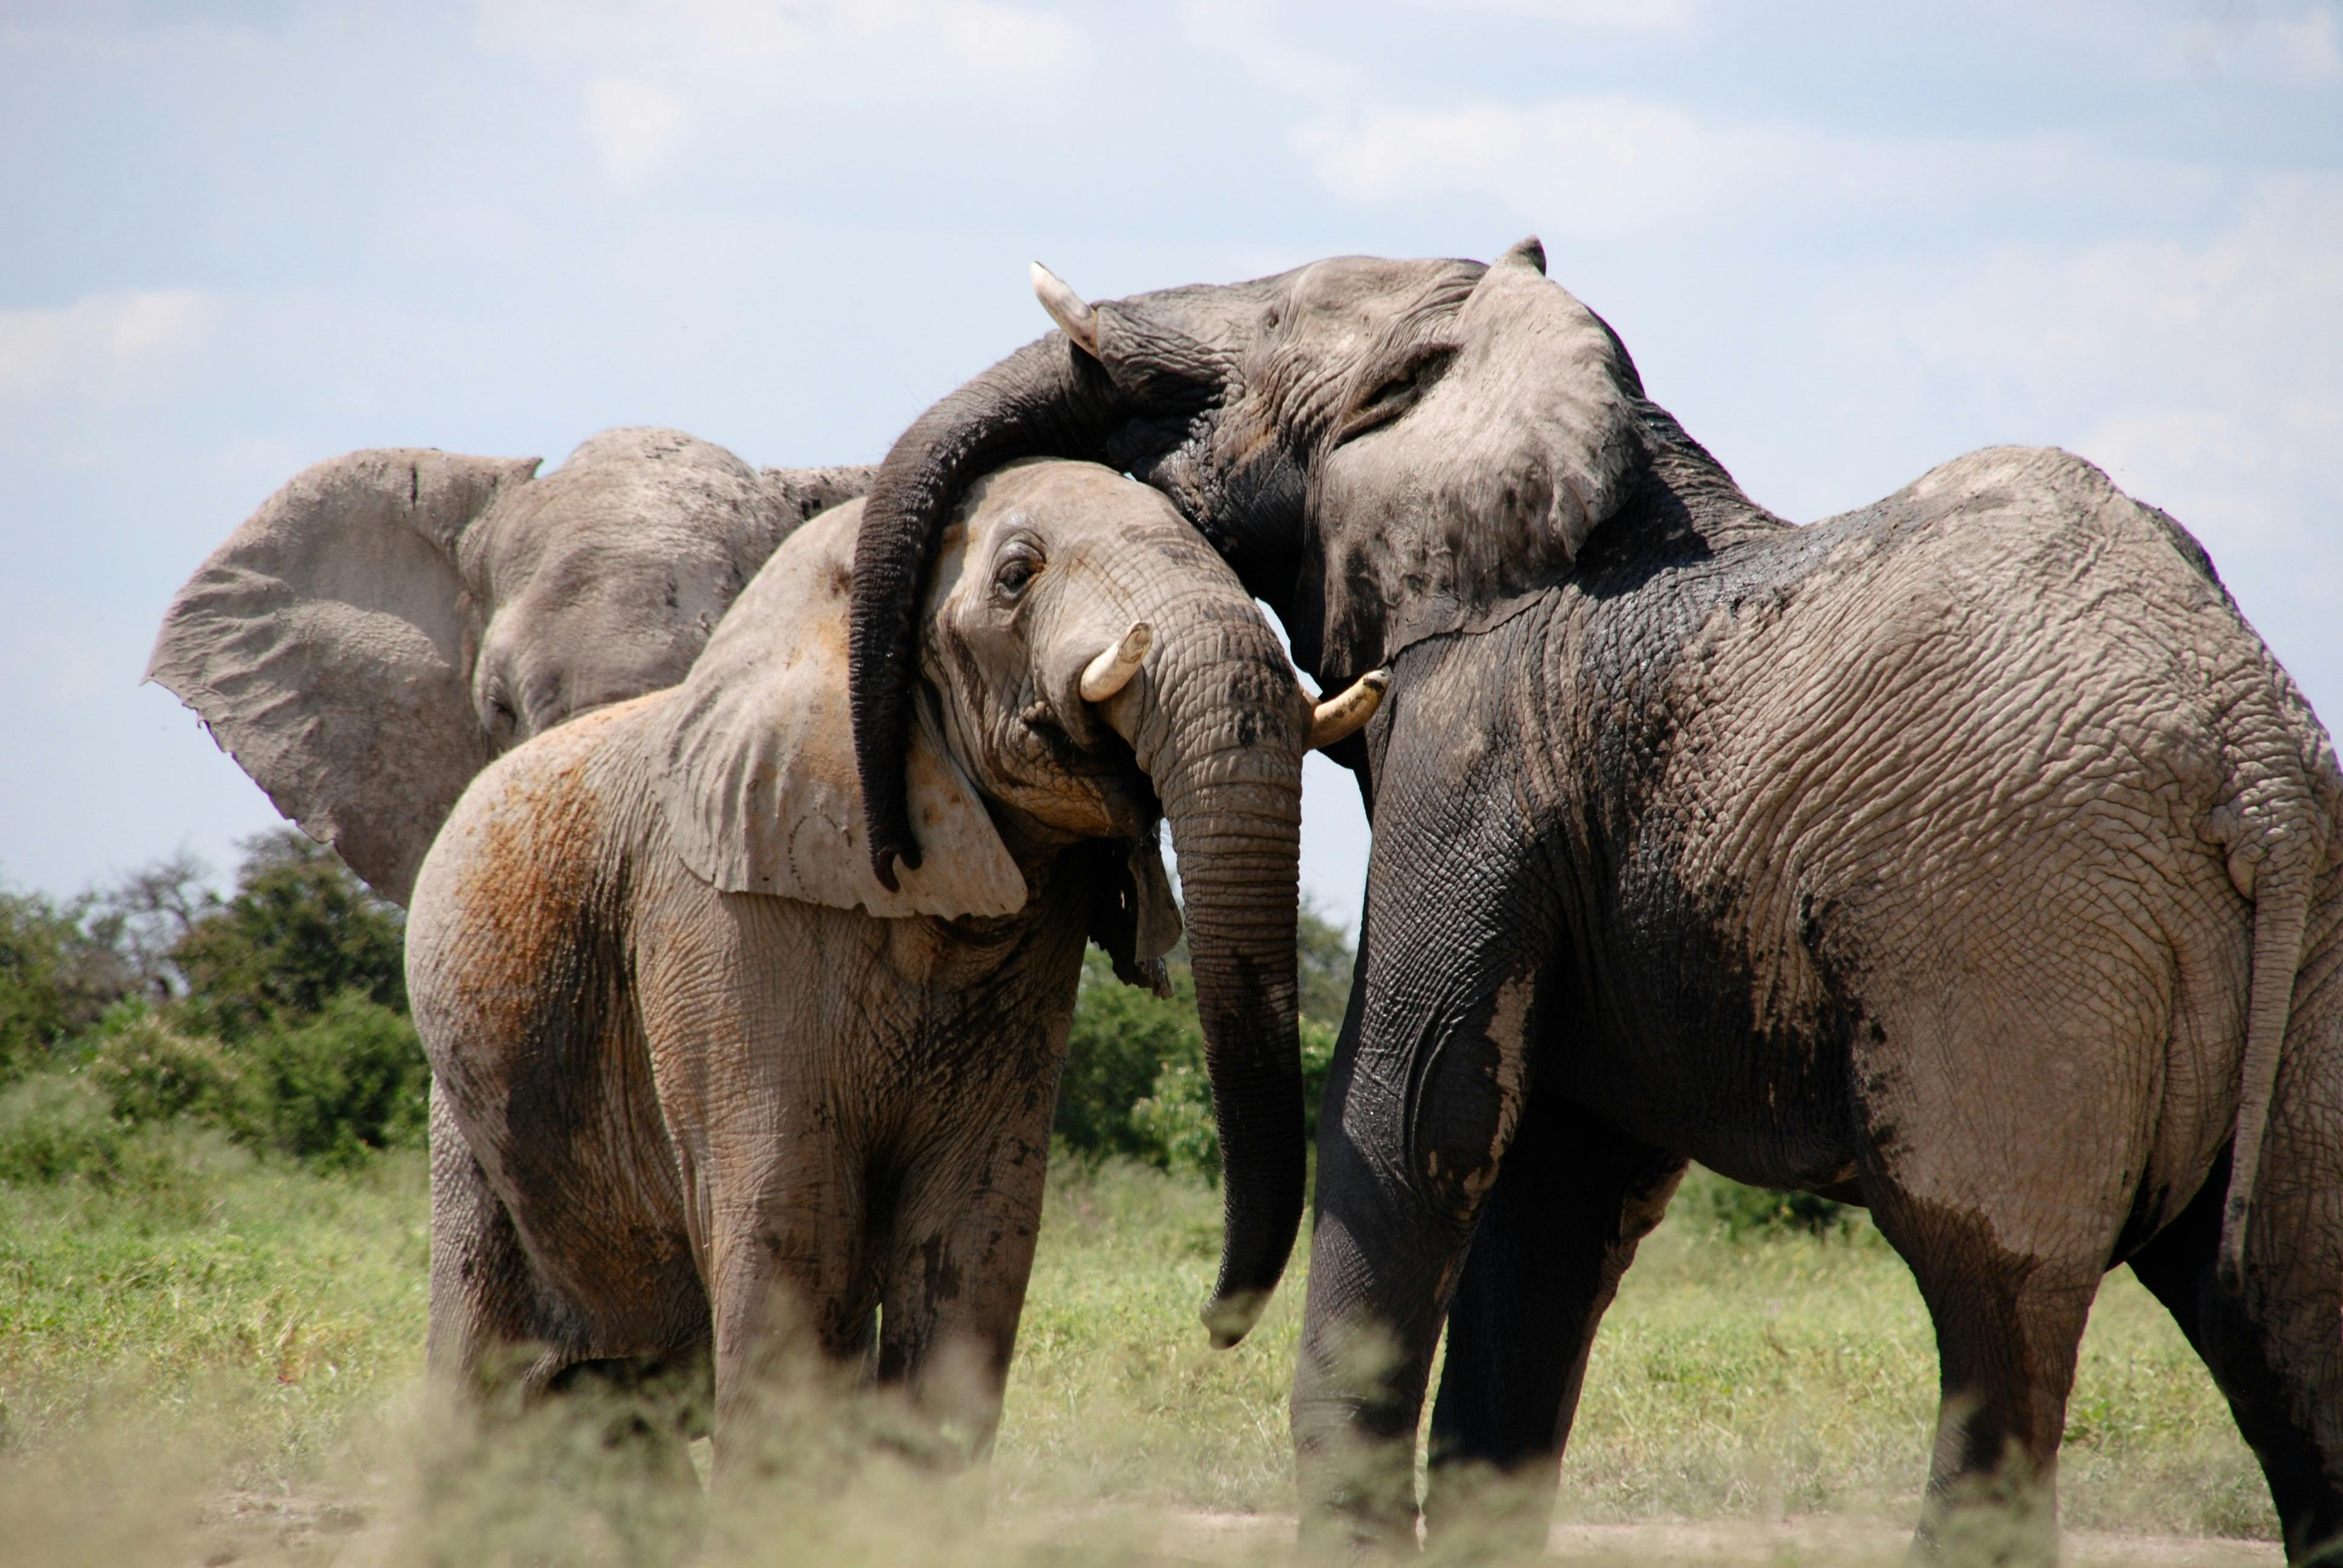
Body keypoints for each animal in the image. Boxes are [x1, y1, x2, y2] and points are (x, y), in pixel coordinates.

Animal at [405, 454, 1387, 1472]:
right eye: (1016, 576)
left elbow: (979, 1229)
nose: (1212, 1323)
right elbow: (790, 1223)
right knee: (483, 1371)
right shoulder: (721, 922)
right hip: (468, 1111)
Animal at [839, 239, 2343, 1556]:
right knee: (2282, 1327)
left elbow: (1416, 1109)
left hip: (2017, 938)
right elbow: (1556, 1181)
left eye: (1257, 333)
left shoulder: (1480, 734)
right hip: (2304, 959)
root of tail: (2253, 764)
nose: (895, 852)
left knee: (1995, 1317)